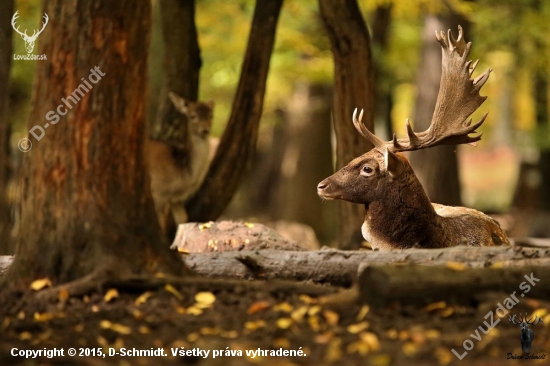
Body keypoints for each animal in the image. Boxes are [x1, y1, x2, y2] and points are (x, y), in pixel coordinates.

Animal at [148, 92, 215, 237]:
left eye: (211, 115)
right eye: (192, 116)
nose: (205, 130)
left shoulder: (176, 200)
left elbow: (184, 219)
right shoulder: (159, 192)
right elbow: (161, 224)